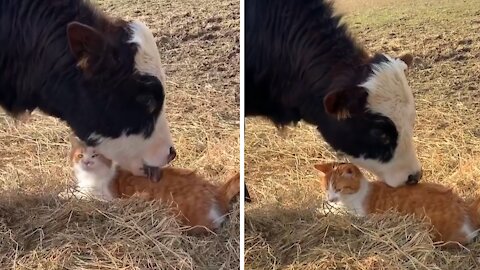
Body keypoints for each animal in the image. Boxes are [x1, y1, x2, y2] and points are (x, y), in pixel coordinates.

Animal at [67, 136, 240, 235]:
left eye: (95, 155)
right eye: (80, 155)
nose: (86, 162)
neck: (91, 176)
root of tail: (217, 192)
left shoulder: (106, 197)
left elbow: (82, 195)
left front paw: (68, 195)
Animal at [316, 161, 480, 248]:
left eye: (338, 189)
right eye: (326, 189)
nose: (330, 198)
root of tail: (467, 210)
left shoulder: (361, 215)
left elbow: (341, 212)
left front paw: (323, 210)